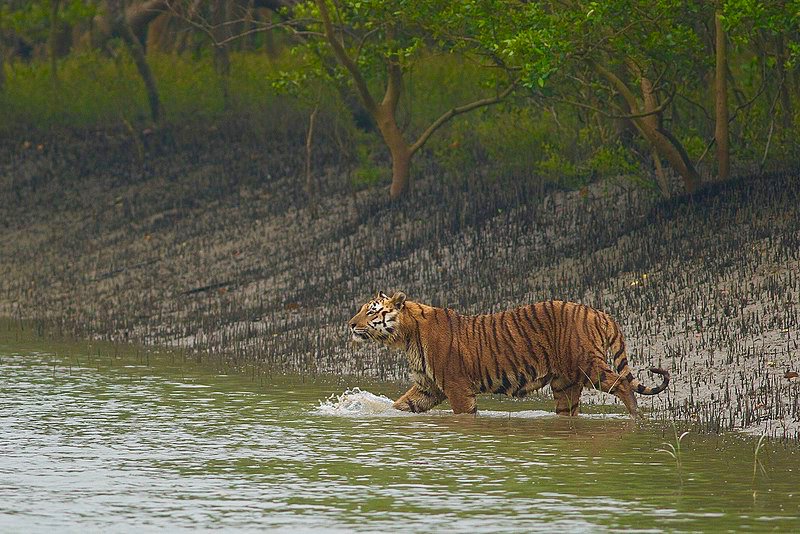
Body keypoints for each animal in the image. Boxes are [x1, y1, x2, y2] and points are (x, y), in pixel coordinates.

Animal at [348, 294, 668, 418]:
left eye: (371, 311)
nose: (350, 324)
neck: (405, 336)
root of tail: (601, 313)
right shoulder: (428, 387)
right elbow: (401, 405)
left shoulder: (456, 387)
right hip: (565, 384)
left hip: (588, 365)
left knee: (623, 384)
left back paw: (637, 419)